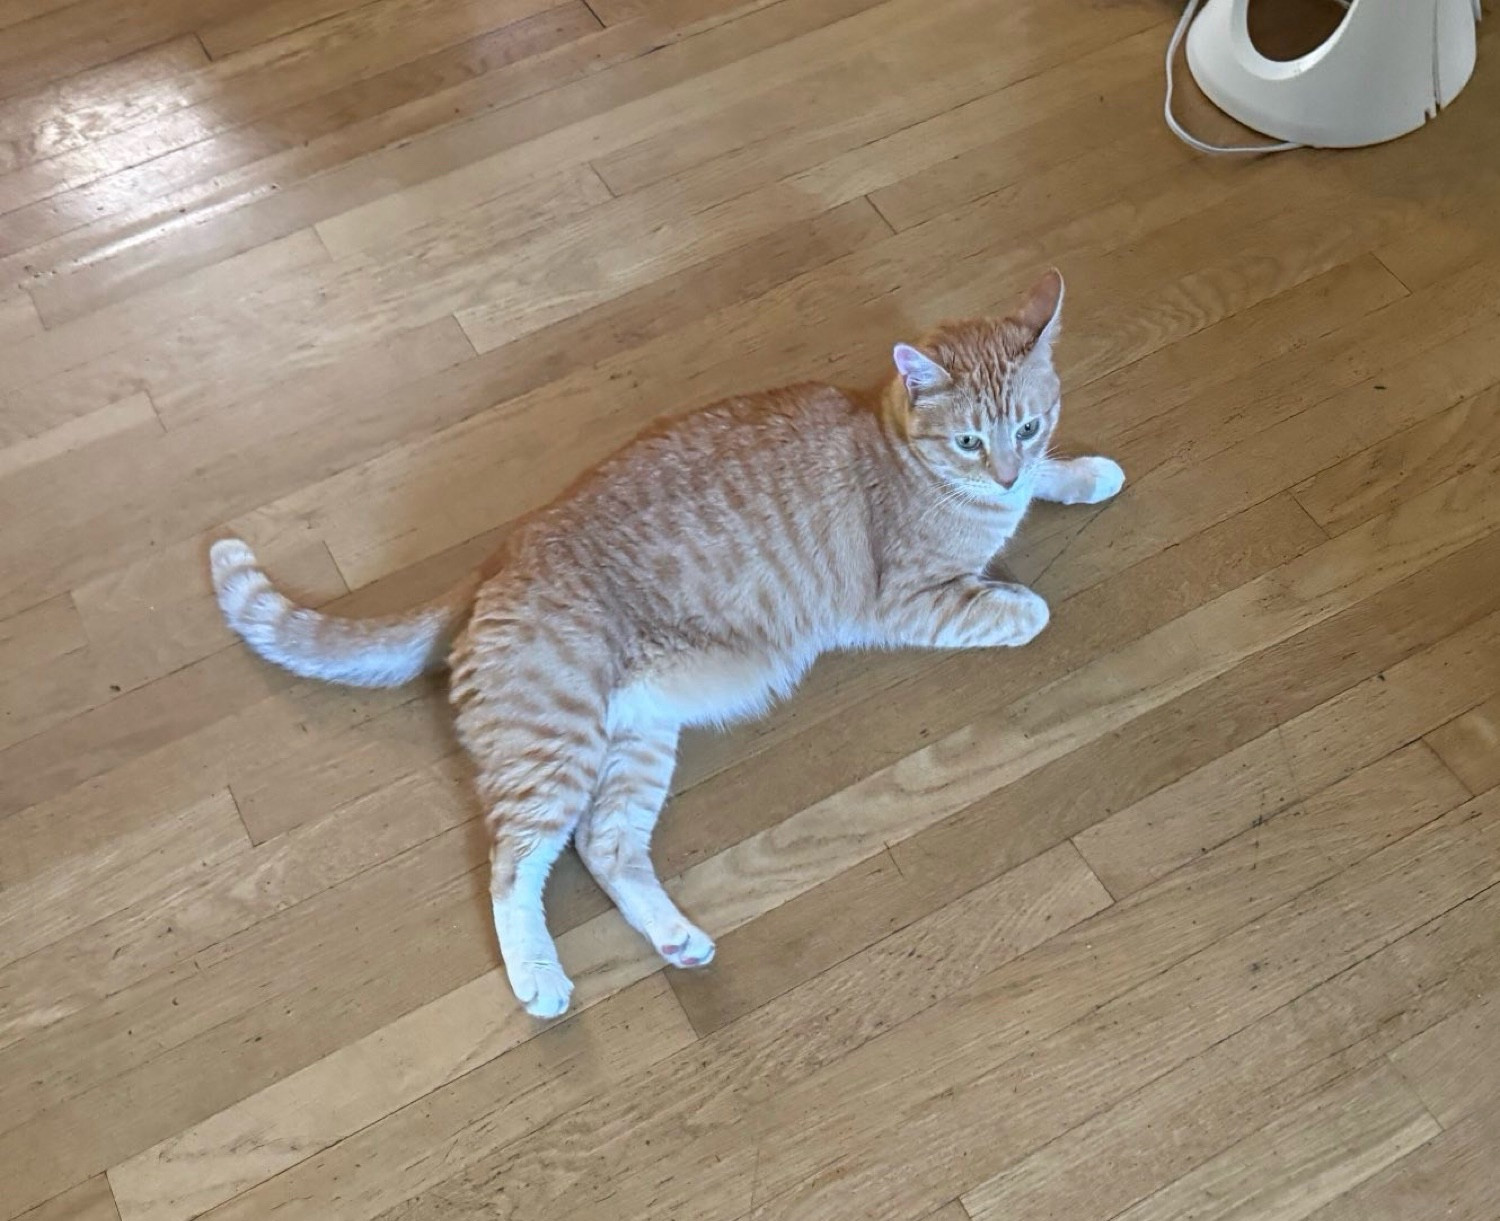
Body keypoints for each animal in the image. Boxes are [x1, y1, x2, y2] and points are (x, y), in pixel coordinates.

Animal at [211, 273, 1128, 1020]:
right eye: (970, 440)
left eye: (1029, 425)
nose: (1004, 471)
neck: (901, 445)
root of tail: (500, 556)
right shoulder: (906, 601)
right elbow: (1018, 608)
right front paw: (1024, 589)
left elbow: (1053, 480)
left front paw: (1083, 473)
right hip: (557, 745)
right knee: (513, 863)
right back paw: (539, 978)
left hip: (637, 738)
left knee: (606, 844)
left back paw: (676, 938)